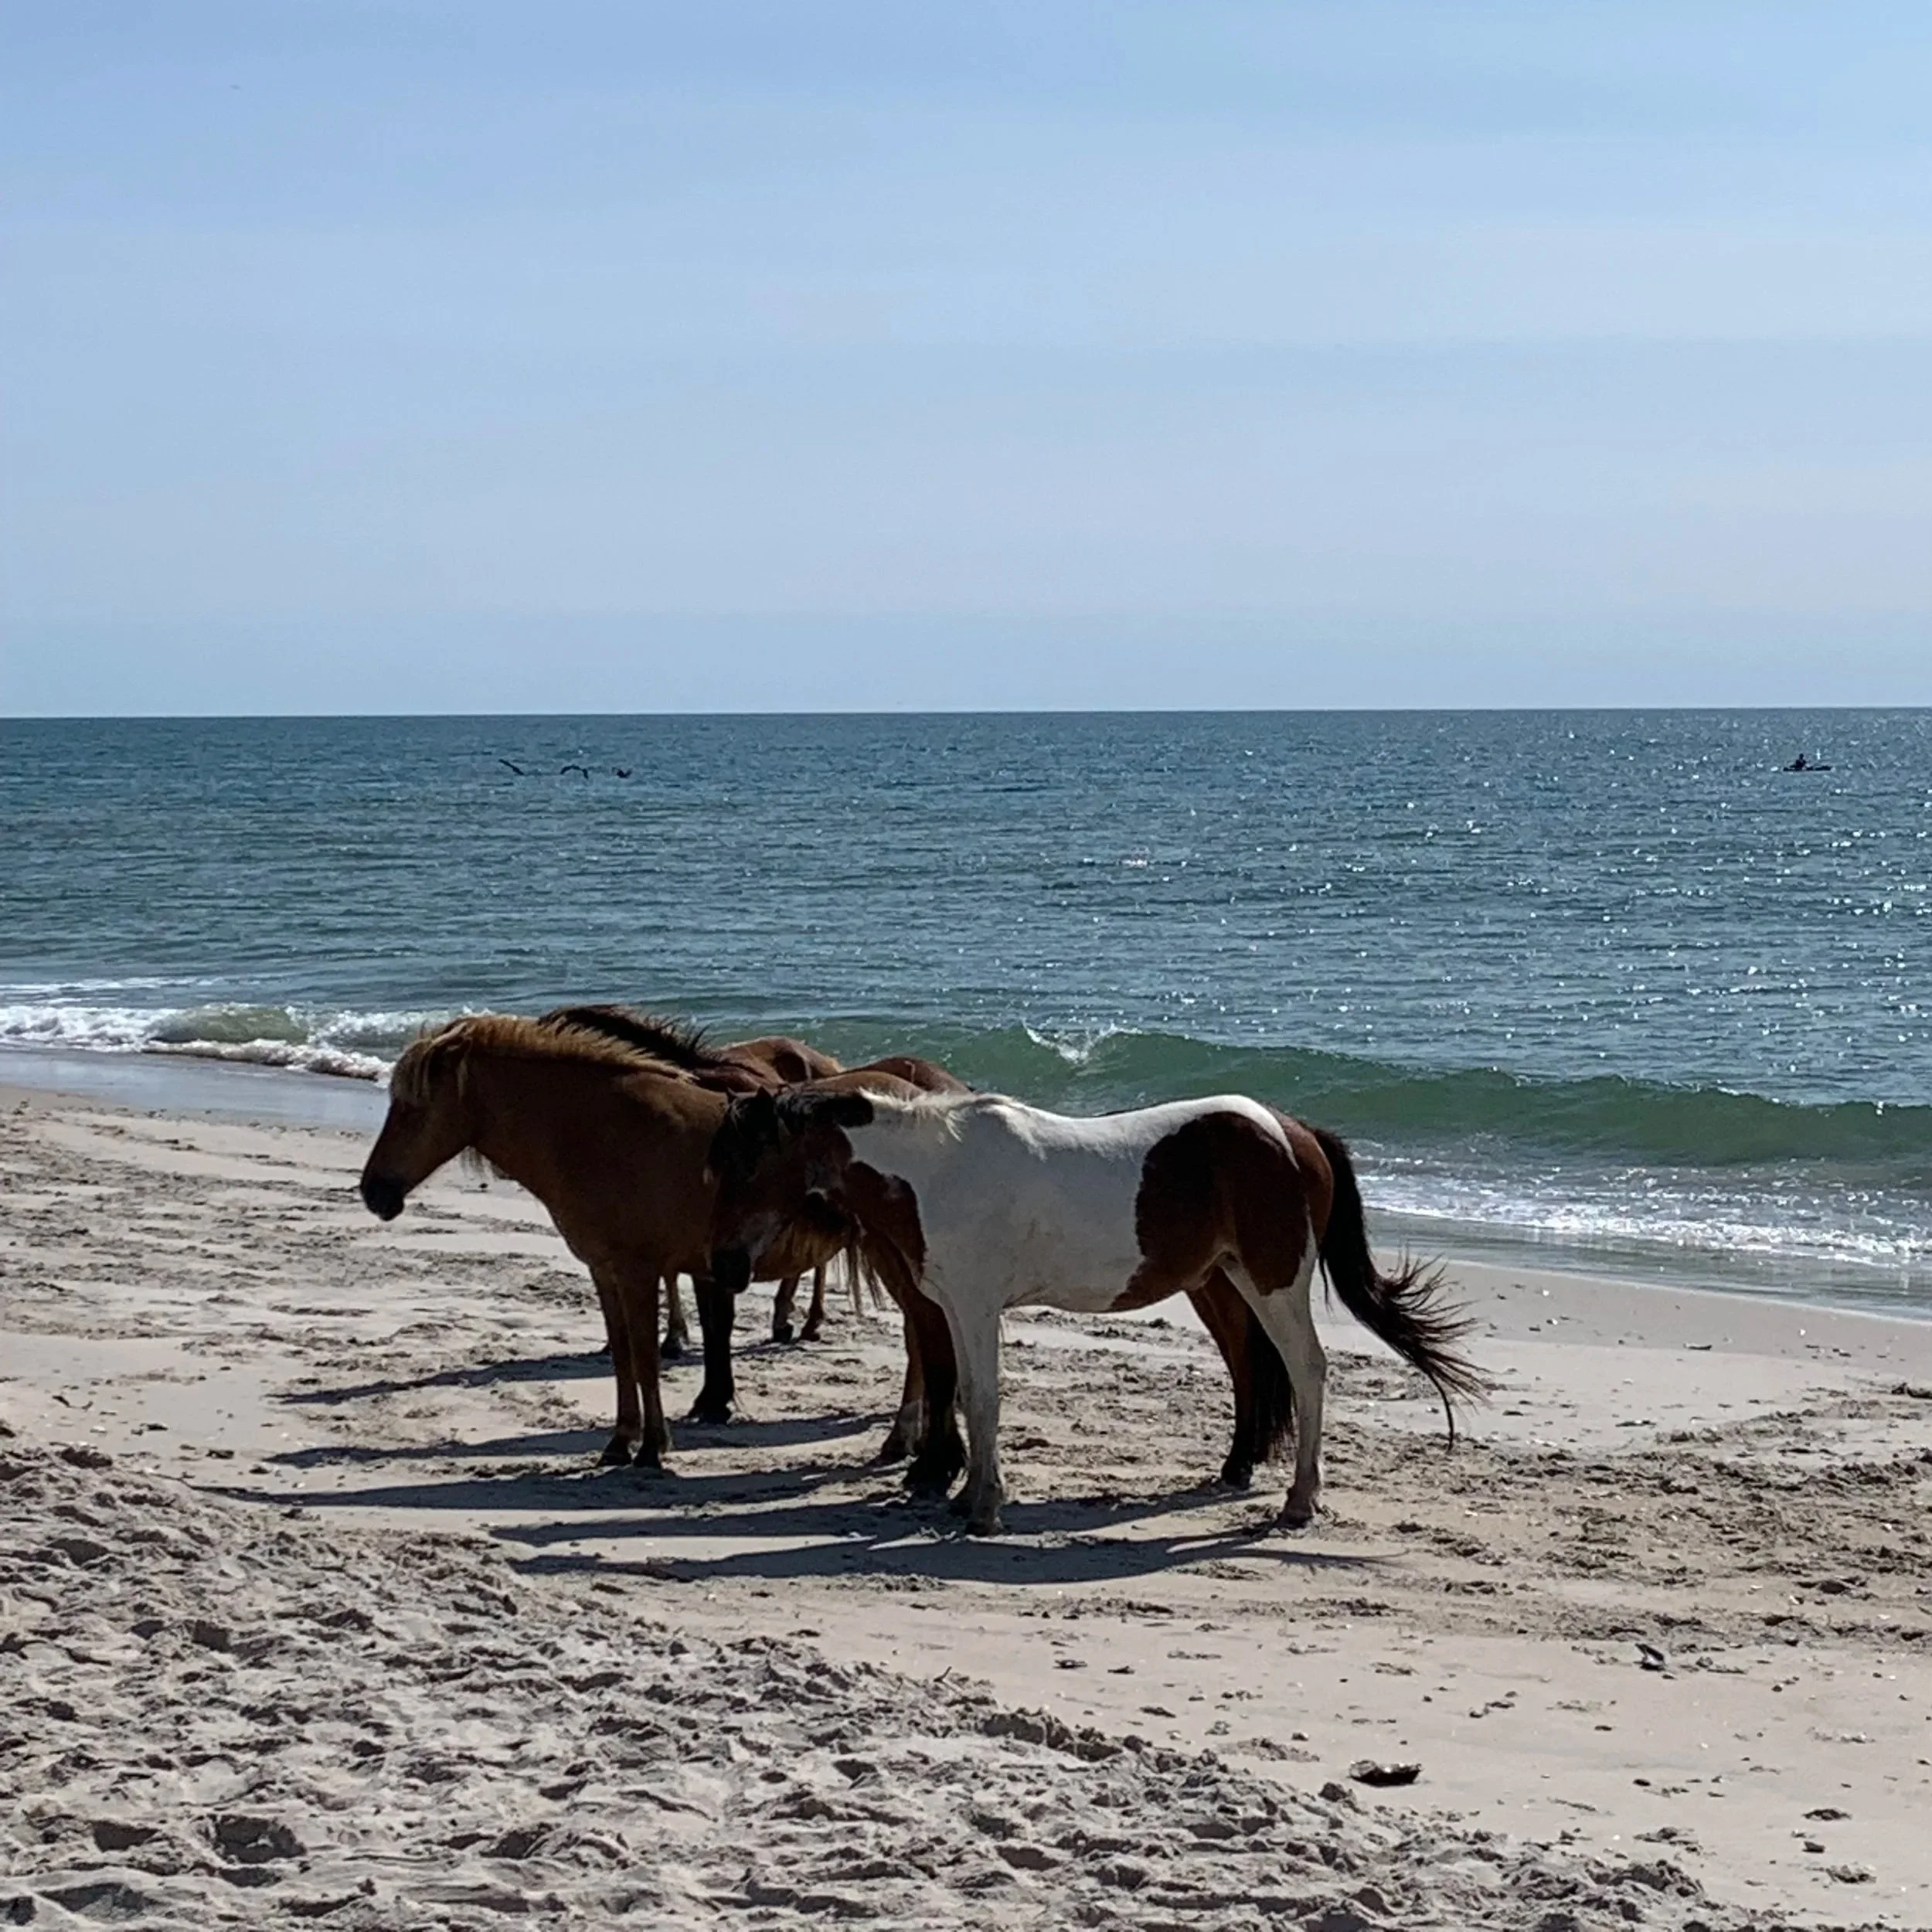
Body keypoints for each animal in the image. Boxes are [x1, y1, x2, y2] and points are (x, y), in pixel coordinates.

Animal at [706, 1084, 1487, 1534]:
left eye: (748, 1162)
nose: (726, 1266)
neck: (937, 1169)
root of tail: (1295, 1133)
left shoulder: (977, 1306)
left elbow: (984, 1399)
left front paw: (985, 1508)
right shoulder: (956, 1307)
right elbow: (966, 1394)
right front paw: (966, 1496)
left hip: (1275, 1284)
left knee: (1308, 1373)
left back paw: (1298, 1503)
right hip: (1233, 1279)